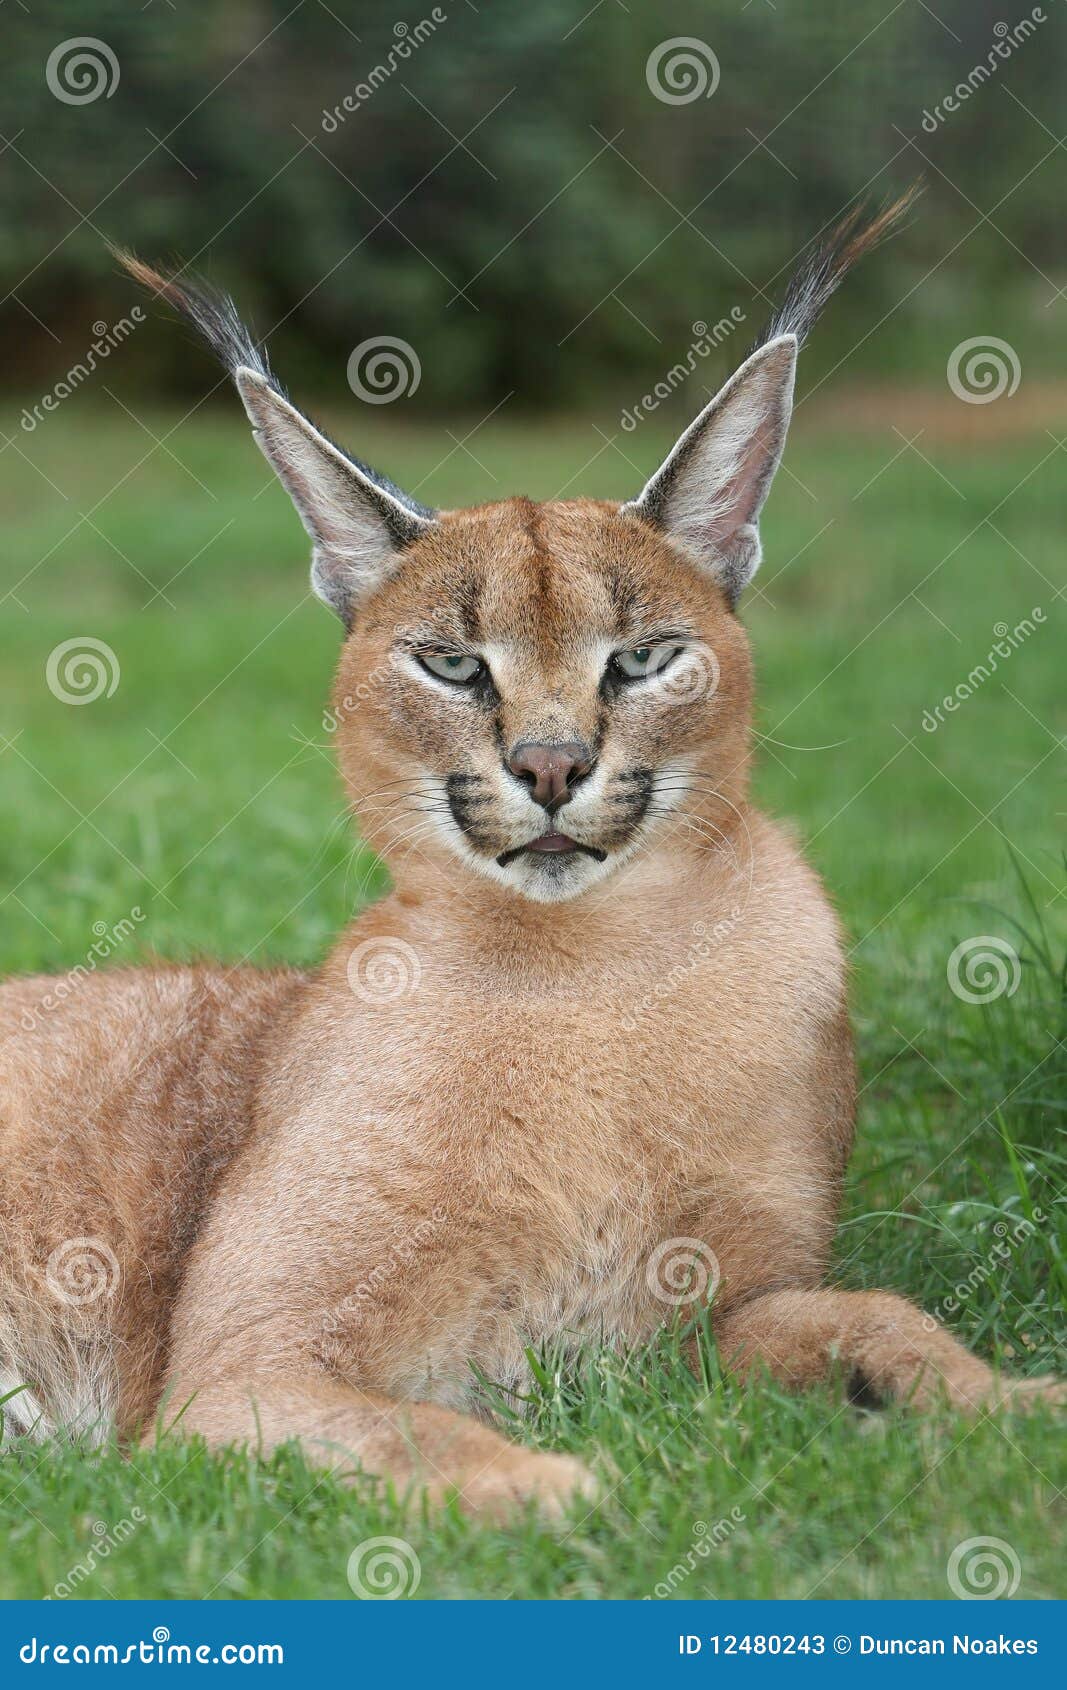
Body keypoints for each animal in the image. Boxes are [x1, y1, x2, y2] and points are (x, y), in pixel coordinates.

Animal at [0, 201, 1061, 1521]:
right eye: (451, 665)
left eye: (644, 658)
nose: (551, 766)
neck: (588, 969)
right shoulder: (242, 1364)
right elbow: (421, 1436)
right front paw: (582, 1488)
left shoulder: (711, 1313)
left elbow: (876, 1309)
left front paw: (1002, 1400)